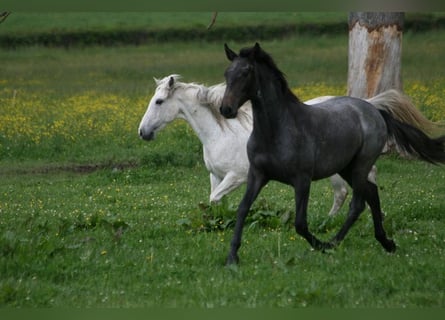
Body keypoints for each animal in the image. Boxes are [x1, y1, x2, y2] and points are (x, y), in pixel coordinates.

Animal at [138, 74, 438, 216]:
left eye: (159, 102)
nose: (142, 132)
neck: (220, 132)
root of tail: (365, 106)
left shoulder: (238, 176)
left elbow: (215, 199)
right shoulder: (216, 175)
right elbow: (214, 201)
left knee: (356, 185)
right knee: (350, 188)